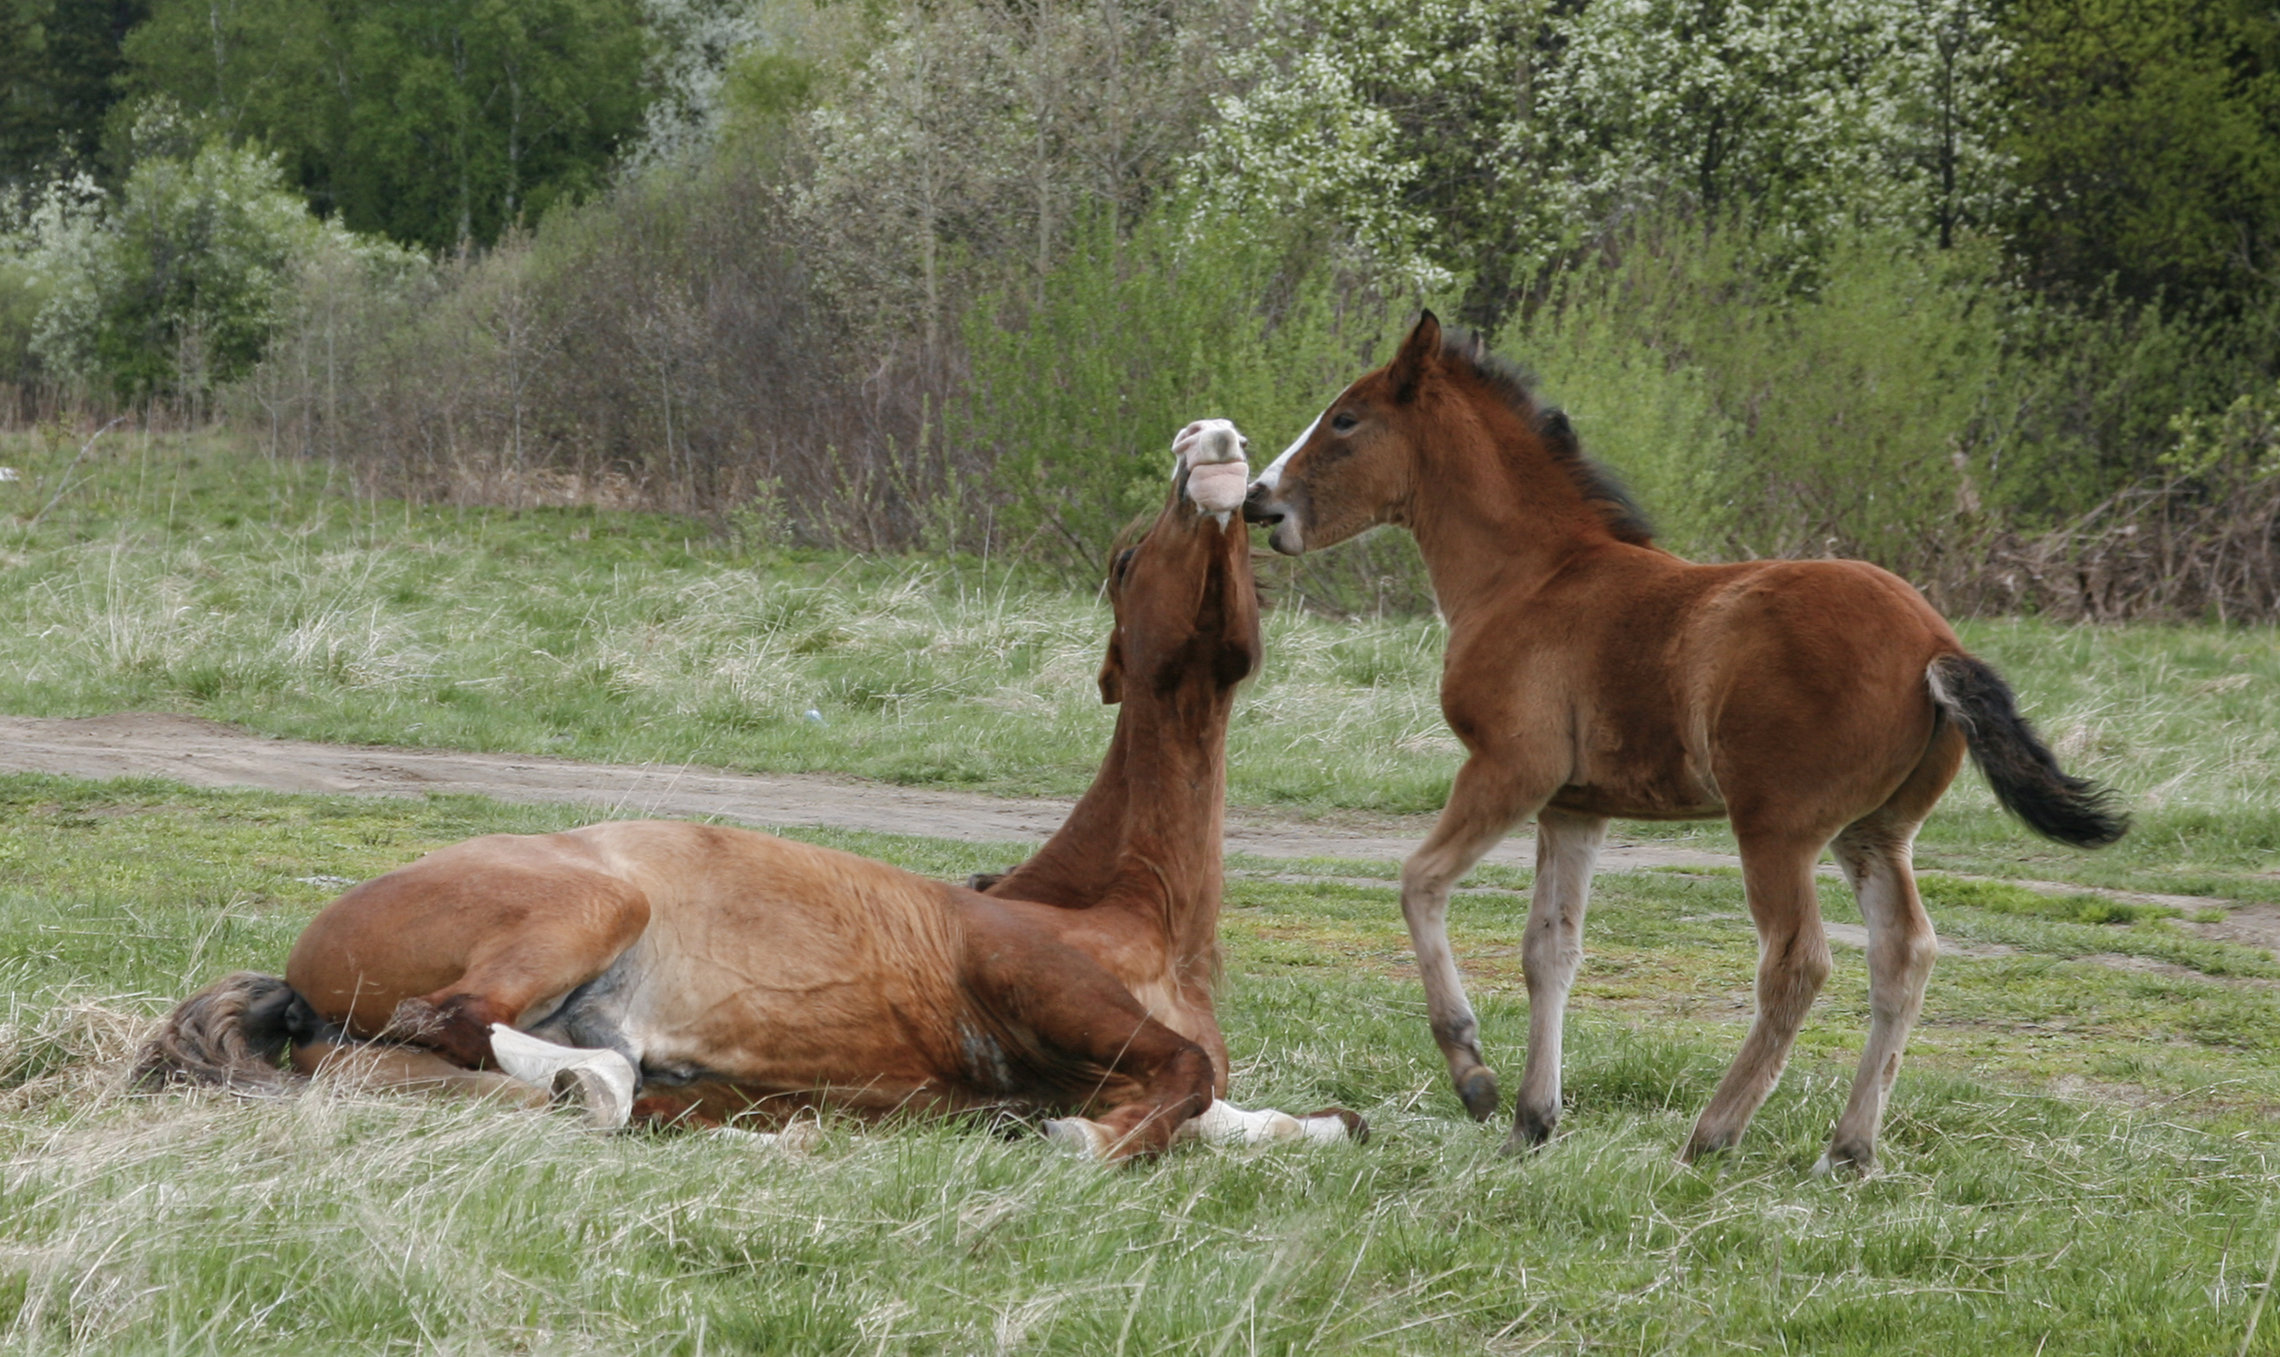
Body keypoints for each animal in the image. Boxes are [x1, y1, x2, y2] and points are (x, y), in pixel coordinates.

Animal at [142, 421, 1358, 1158]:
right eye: (1123, 558)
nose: (1214, 446)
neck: (1126, 908)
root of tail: (295, 973)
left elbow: (1280, 1114)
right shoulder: (1037, 989)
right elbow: (1184, 1074)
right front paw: (1083, 1140)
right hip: (590, 906)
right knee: (468, 1024)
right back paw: (604, 1077)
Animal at [1249, 312, 2115, 1176]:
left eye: (1346, 419)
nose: (1260, 500)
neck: (1531, 576)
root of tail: (1936, 644)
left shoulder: (1510, 768)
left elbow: (1419, 882)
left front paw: (1473, 1071)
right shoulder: (1573, 807)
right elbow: (1549, 951)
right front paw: (1532, 1119)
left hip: (1775, 824)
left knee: (1798, 962)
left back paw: (1714, 1131)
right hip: (1876, 831)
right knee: (1903, 953)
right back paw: (1848, 1149)